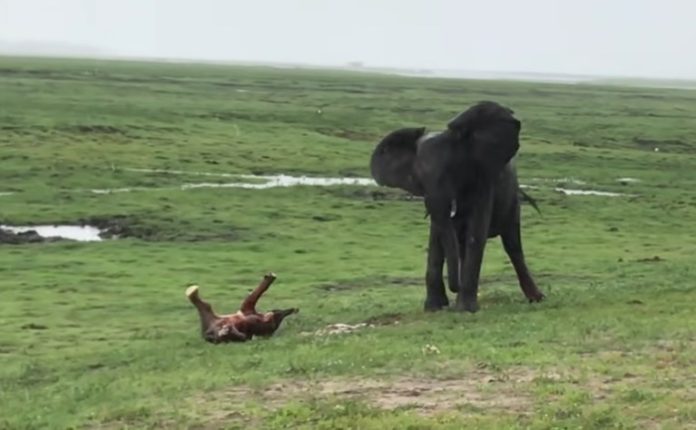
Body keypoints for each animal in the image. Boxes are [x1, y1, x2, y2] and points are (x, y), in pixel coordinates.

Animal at [370, 101, 545, 313]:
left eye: (450, 170)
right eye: (418, 179)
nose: (455, 288)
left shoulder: (483, 179)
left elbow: (475, 234)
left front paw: (464, 310)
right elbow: (437, 237)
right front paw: (434, 308)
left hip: (511, 201)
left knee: (512, 245)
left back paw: (537, 298)